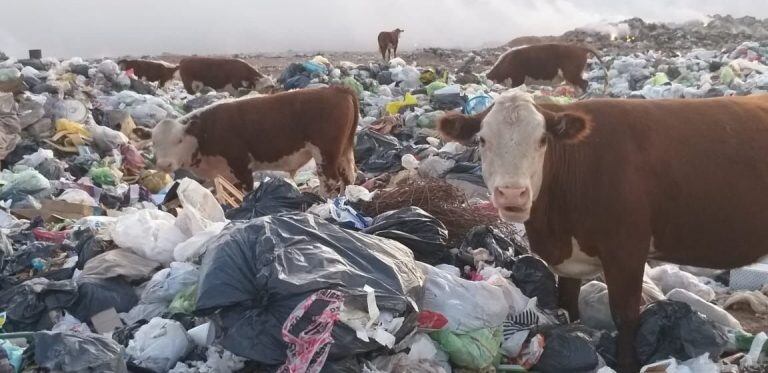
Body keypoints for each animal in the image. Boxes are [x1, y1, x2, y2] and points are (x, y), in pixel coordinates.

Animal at [151, 86, 360, 196]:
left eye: (179, 140)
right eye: (154, 143)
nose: (164, 164)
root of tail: (336, 89)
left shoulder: (241, 167)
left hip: (325, 154)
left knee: (330, 181)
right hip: (343, 151)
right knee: (348, 177)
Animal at [438, 91, 768, 372]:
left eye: (542, 140)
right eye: (482, 140)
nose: (512, 193)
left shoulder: (626, 250)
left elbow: (625, 314)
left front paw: (627, 363)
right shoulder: (569, 258)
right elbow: (567, 305)